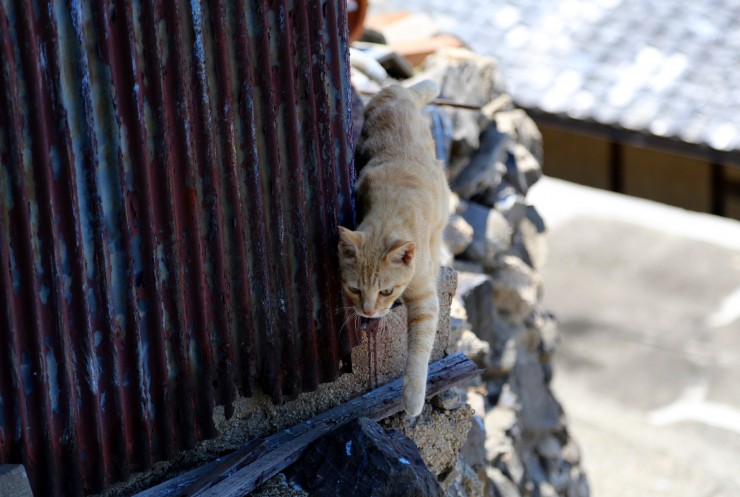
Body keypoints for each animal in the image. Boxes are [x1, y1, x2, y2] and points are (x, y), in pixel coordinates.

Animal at [336, 80, 450, 414]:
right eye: (354, 289)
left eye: (386, 291)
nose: (368, 311)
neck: (391, 209)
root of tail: (399, 88)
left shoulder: (425, 299)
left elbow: (419, 350)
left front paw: (412, 399)